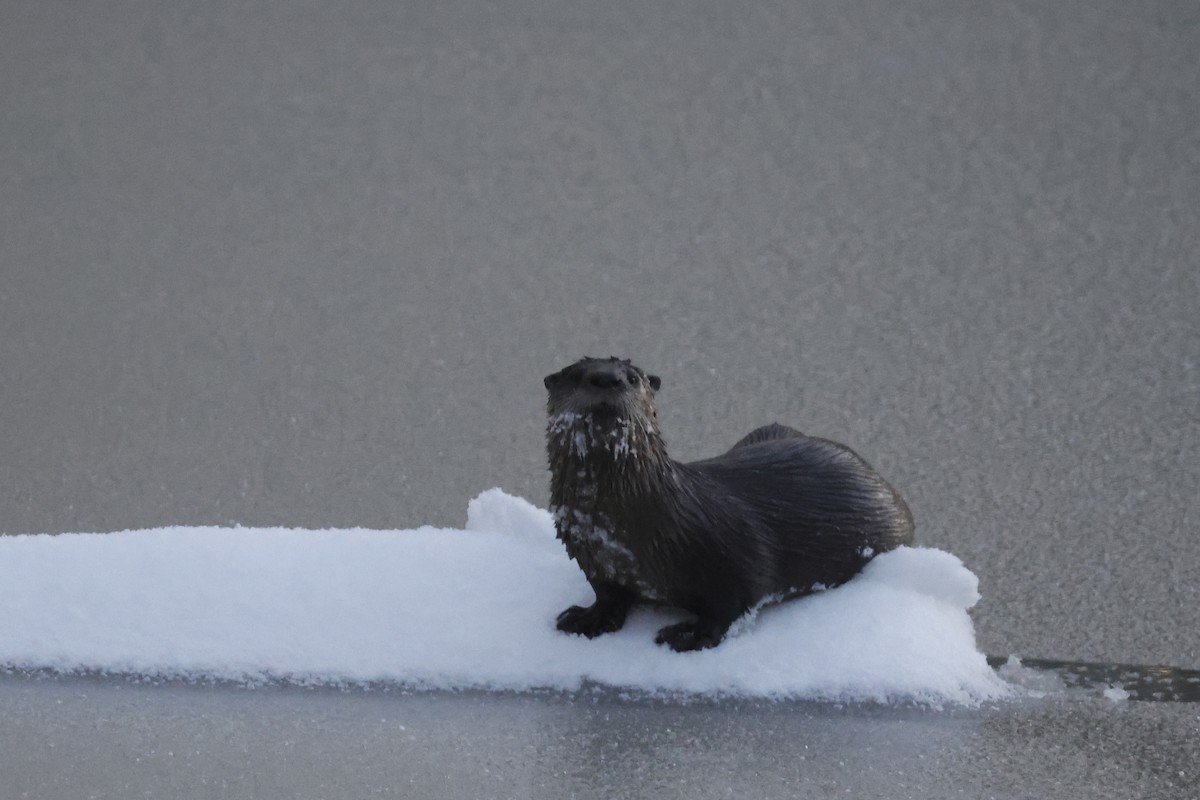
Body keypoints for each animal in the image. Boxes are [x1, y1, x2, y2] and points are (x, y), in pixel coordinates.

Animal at [545, 356, 915, 652]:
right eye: (575, 374)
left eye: (633, 377)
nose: (607, 378)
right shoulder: (592, 557)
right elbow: (607, 595)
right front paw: (587, 618)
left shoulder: (732, 553)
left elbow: (732, 603)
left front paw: (689, 635)